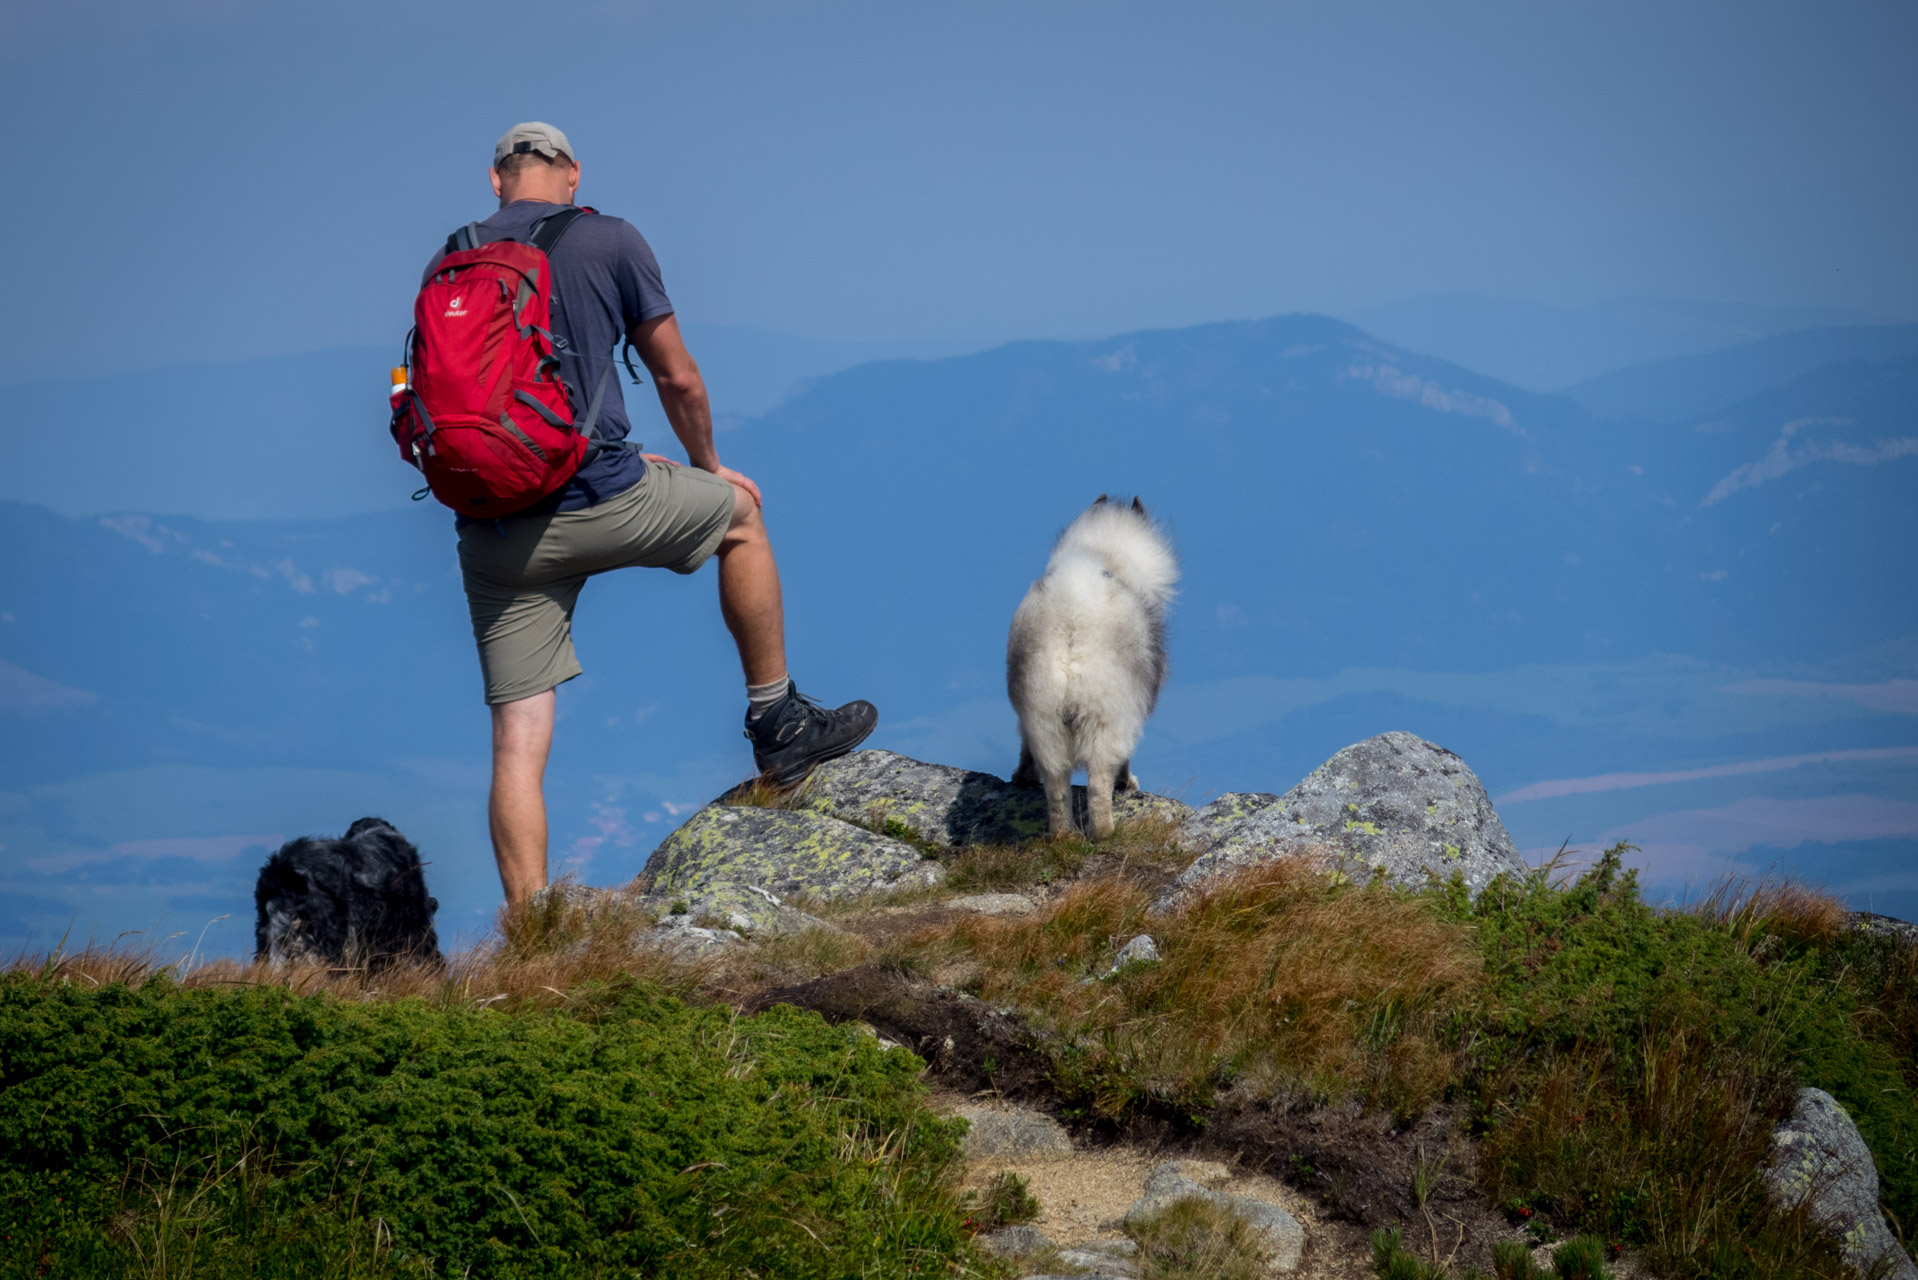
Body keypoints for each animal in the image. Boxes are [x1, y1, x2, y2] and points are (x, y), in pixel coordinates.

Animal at [1012, 498, 1173, 840]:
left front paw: (1021, 777)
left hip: (1043, 717)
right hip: (1106, 718)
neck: (1105, 553)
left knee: (1056, 785)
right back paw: (1105, 833)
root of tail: (1073, 613)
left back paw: (1064, 835)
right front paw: (1129, 784)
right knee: (1099, 781)